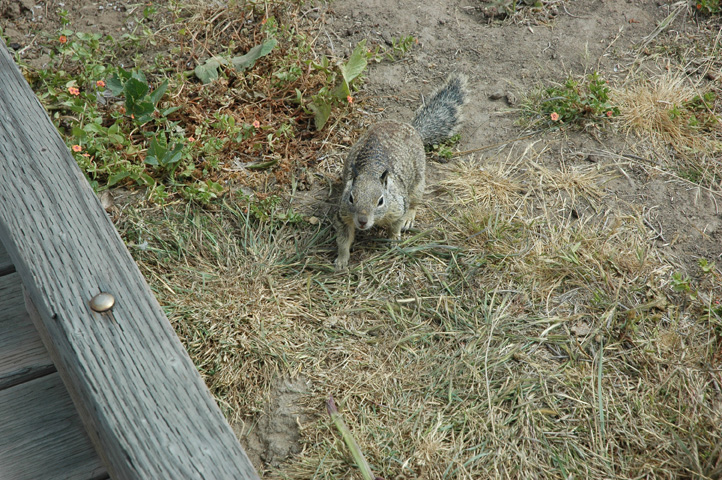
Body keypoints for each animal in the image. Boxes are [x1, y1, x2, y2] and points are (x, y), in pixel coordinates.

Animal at [334, 75, 470, 270]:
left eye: (381, 201)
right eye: (351, 198)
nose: (362, 221)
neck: (370, 171)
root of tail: (412, 128)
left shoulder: (399, 205)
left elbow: (396, 225)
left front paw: (393, 240)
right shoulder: (343, 215)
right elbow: (343, 239)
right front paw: (341, 260)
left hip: (418, 183)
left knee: (414, 203)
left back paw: (409, 218)